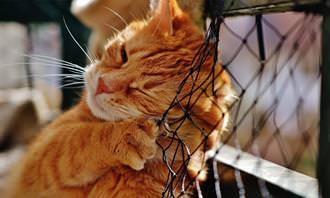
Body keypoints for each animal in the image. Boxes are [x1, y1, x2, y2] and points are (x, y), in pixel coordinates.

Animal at [3, 0, 233, 197]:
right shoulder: (39, 158)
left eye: (142, 91)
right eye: (123, 54)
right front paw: (124, 136)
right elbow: (78, 142)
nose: (102, 85)